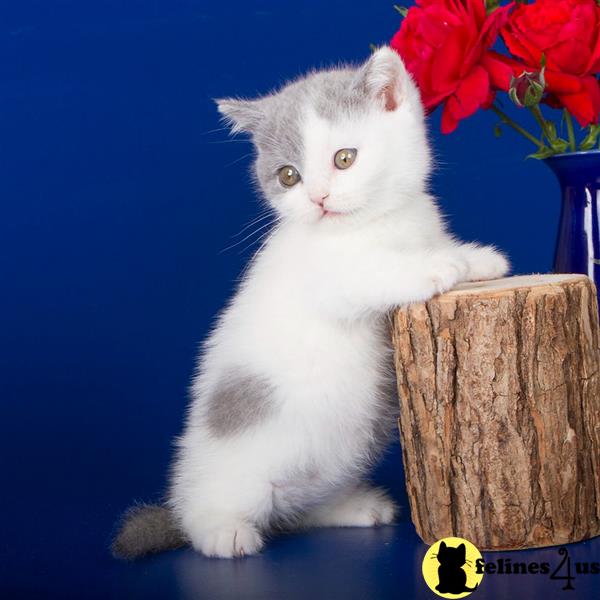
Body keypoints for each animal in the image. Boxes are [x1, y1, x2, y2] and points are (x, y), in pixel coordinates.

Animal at [111, 49, 506, 560]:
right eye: (288, 176)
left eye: (344, 158)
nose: (318, 198)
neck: (377, 224)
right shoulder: (328, 278)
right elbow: (376, 272)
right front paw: (441, 265)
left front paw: (480, 259)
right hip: (231, 474)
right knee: (204, 510)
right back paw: (223, 532)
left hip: (338, 456)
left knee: (296, 510)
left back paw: (351, 507)